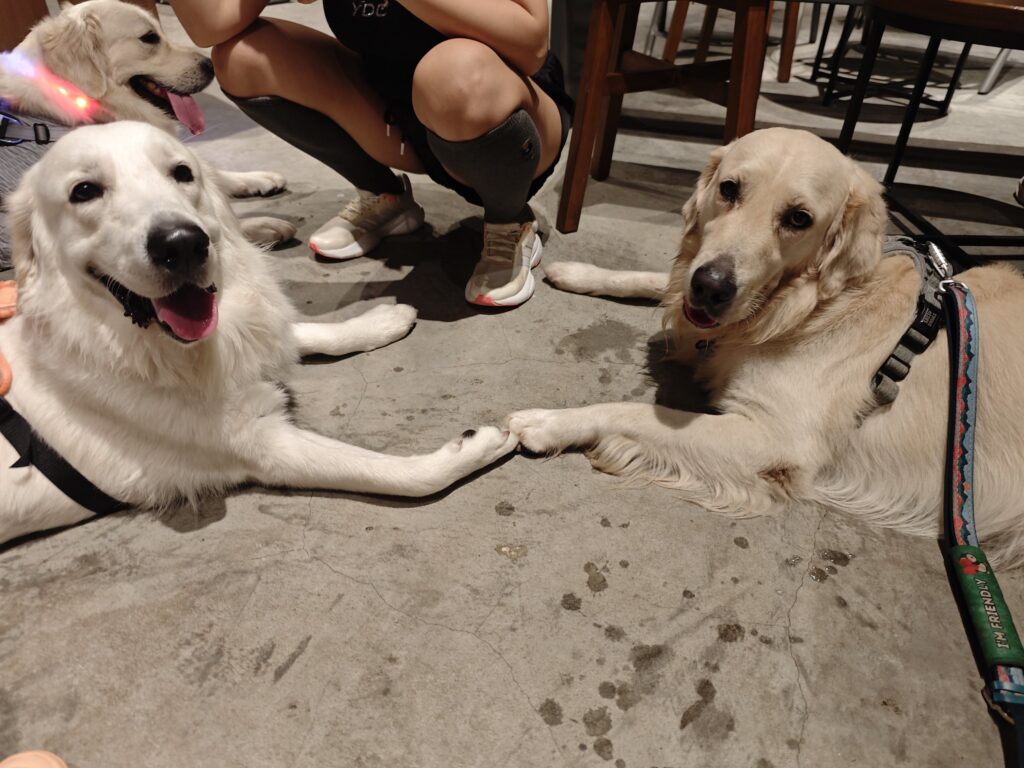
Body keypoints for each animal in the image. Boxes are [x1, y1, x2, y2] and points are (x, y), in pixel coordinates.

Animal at [0, 122, 516, 544]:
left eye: (181, 173)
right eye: (84, 190)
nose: (182, 245)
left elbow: (305, 332)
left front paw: (380, 322)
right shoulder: (264, 448)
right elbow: (402, 476)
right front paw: (478, 445)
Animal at [509, 128, 1024, 565]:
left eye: (799, 219)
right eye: (729, 188)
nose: (712, 287)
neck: (808, 305)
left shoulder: (778, 438)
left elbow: (632, 412)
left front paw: (549, 422)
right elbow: (656, 280)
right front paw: (580, 271)